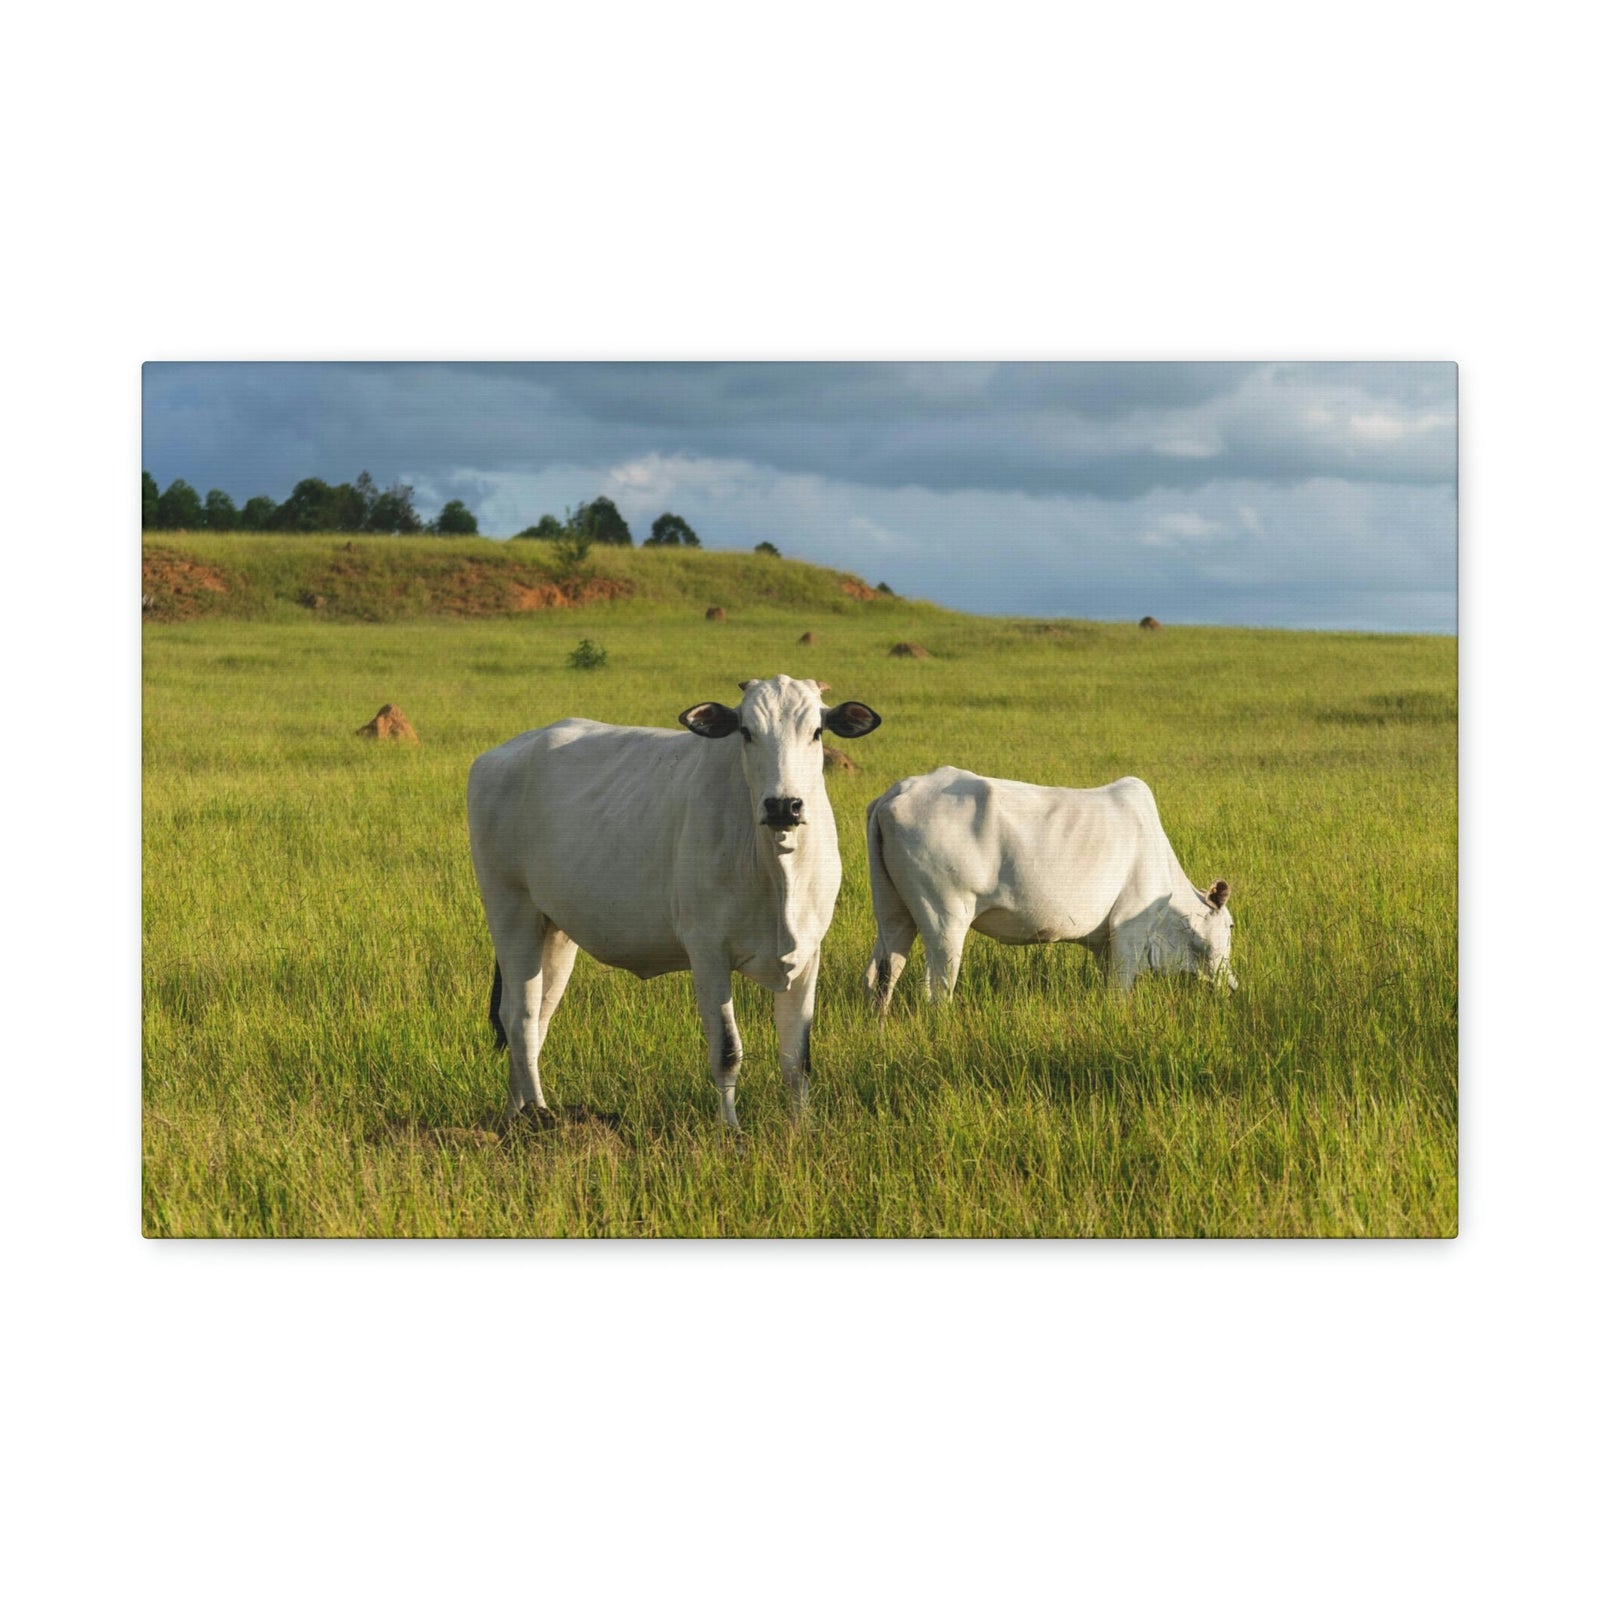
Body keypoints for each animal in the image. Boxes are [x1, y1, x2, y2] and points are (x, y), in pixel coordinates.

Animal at [467, 675, 883, 1129]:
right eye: (746, 731)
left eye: (816, 732)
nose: (782, 806)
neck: (777, 869)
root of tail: (500, 755)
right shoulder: (708, 953)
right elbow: (727, 1051)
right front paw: (730, 1130)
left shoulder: (808, 953)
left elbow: (797, 1057)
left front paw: (802, 1128)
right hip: (510, 911)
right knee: (519, 1018)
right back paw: (541, 1116)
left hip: (555, 930)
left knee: (536, 1017)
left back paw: (516, 1115)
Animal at [863, 768, 1235, 1015]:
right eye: (1230, 925)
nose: (1232, 985)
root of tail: (896, 794)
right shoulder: (1129, 930)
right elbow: (1119, 990)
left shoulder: (1105, 944)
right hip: (945, 917)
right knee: (937, 988)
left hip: (893, 912)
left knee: (881, 974)